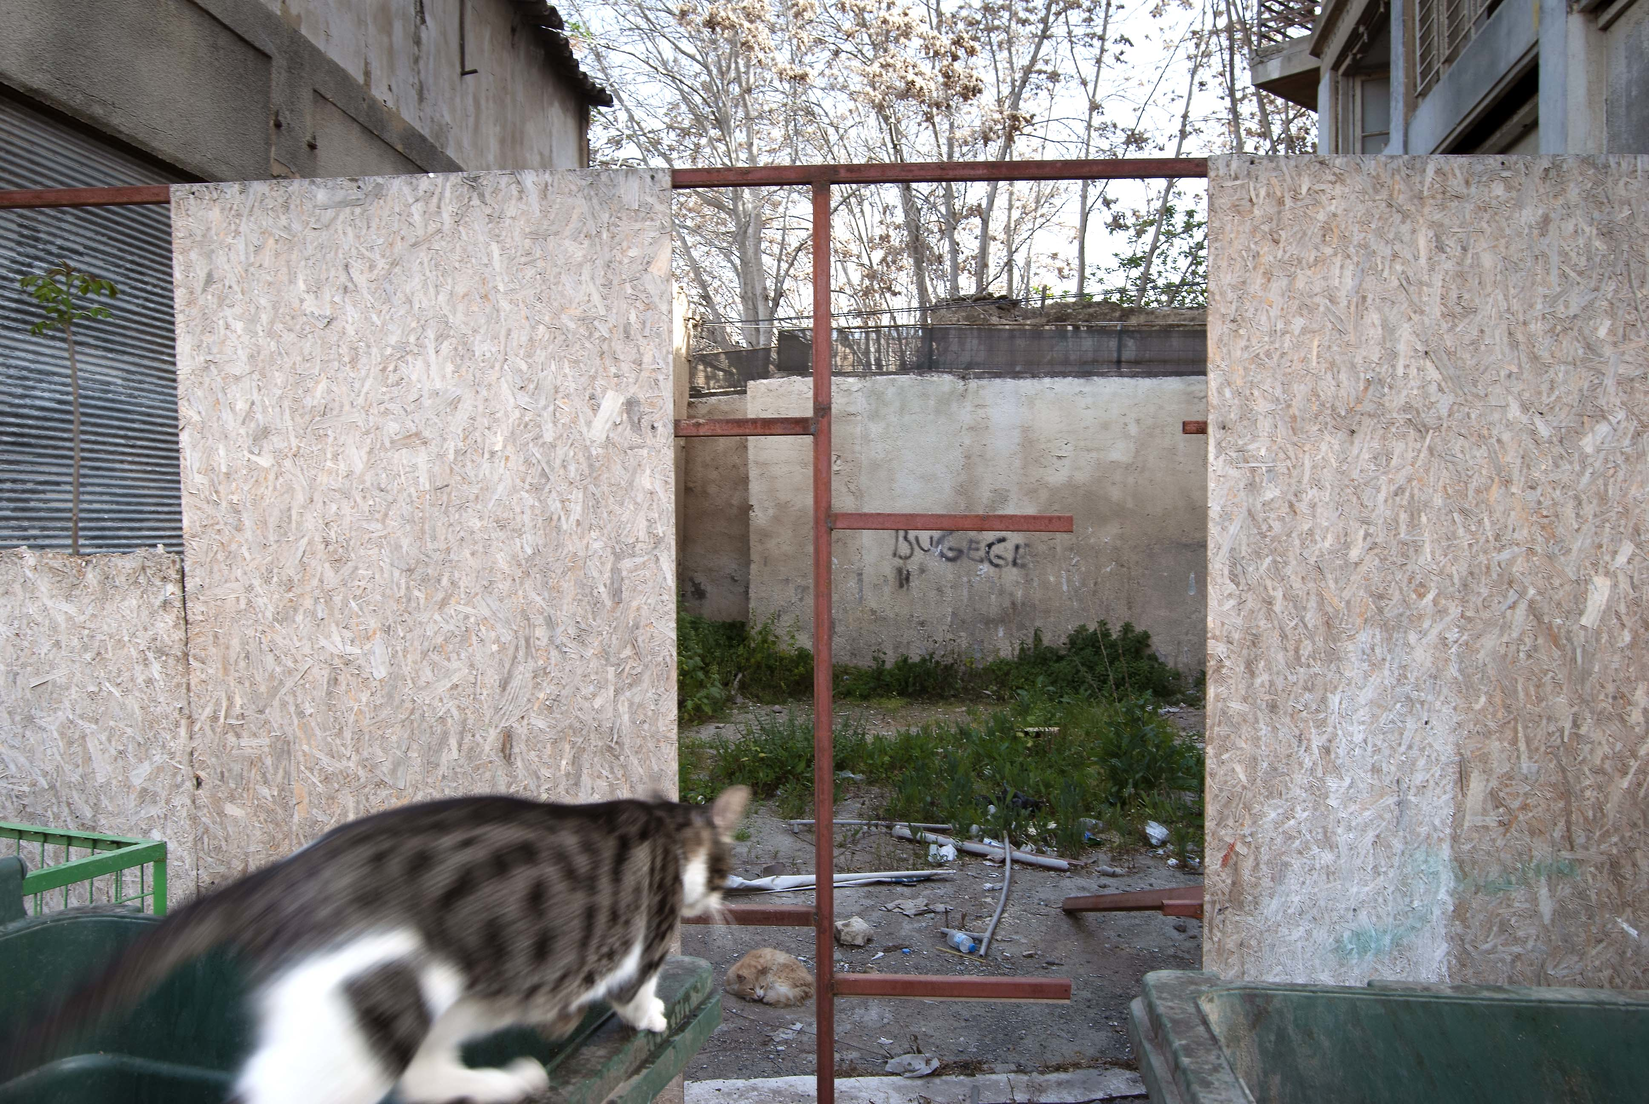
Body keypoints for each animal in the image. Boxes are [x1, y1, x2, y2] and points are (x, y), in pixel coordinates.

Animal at [2, 785, 749, 1104]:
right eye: (721, 869)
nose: (722, 897)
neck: (665, 825)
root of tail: (280, 879)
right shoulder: (640, 945)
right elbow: (636, 990)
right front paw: (652, 1015)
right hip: (382, 1002)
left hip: (443, 999)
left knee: (423, 1075)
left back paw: (507, 1081)